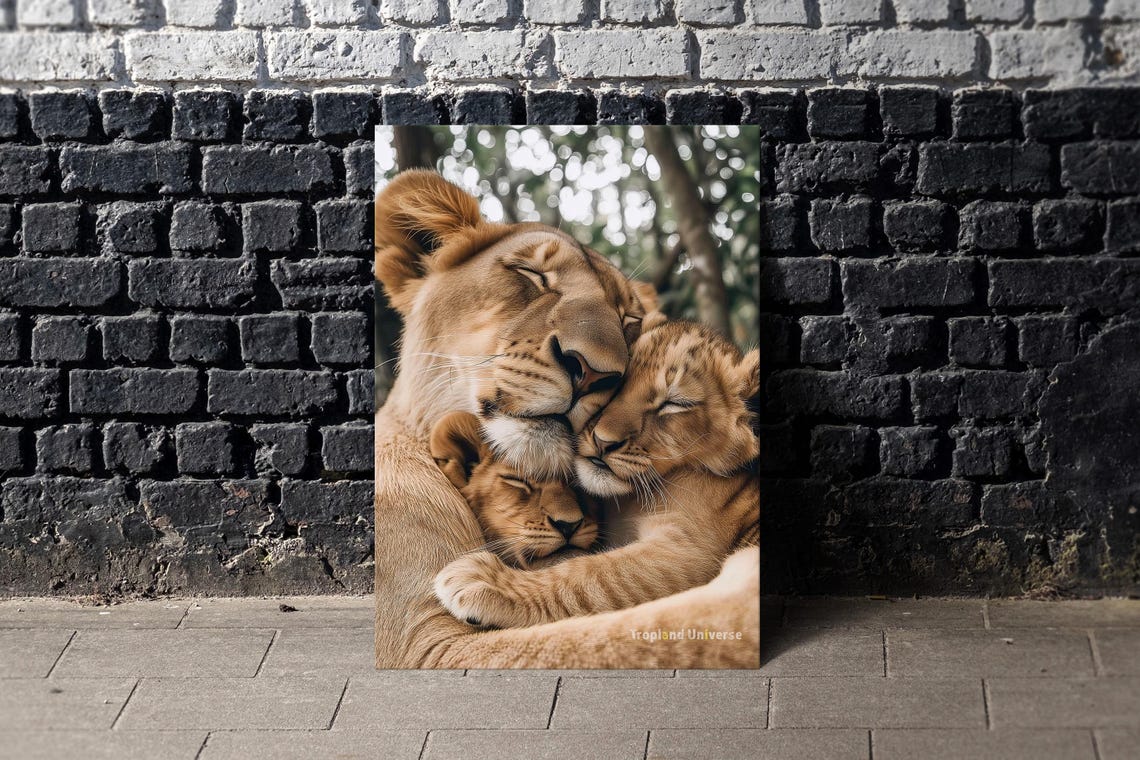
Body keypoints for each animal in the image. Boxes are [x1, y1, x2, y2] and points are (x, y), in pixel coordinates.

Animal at [374, 170, 759, 668]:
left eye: (628, 320)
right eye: (532, 275)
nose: (593, 372)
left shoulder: (690, 547)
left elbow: (603, 603)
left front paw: (486, 581)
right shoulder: (422, 642)